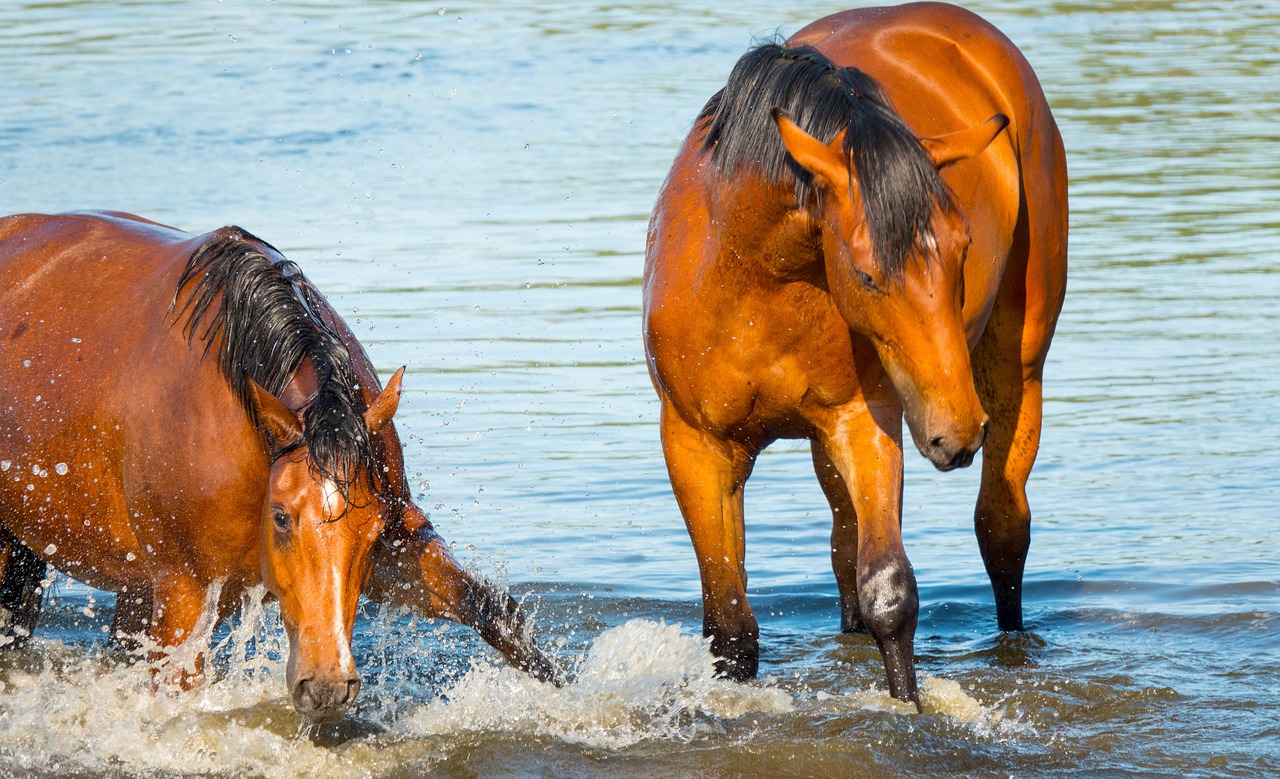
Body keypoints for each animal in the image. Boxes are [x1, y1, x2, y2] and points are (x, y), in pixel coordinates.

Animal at [0, 209, 560, 721]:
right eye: (282, 518)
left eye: (372, 530)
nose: (328, 685)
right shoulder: (182, 594)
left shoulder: (398, 549)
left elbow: (496, 615)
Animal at [640, 1, 1070, 706]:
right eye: (869, 275)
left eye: (962, 250)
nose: (955, 432)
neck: (755, 283)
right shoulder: (696, 444)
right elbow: (731, 628)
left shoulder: (865, 422)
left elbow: (889, 594)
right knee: (844, 552)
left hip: (1015, 367)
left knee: (1001, 528)